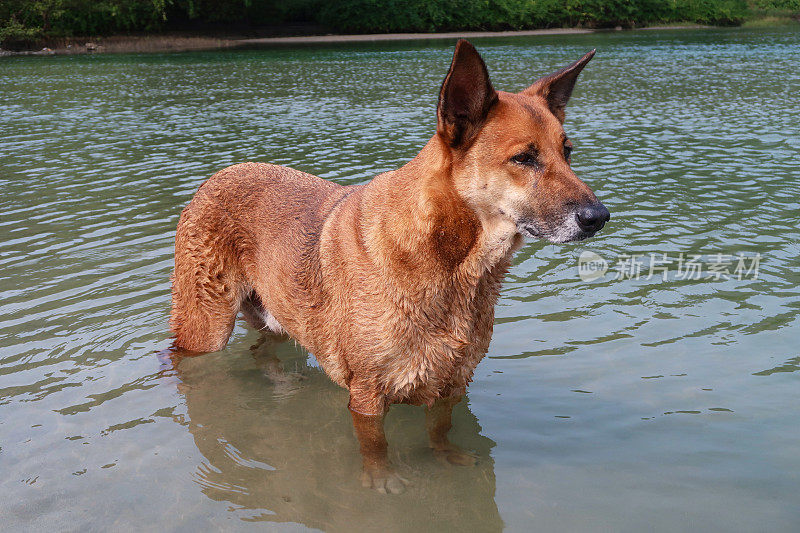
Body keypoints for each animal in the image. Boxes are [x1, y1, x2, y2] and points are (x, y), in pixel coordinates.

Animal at [169, 40, 608, 494]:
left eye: (567, 152)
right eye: (523, 158)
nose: (599, 217)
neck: (452, 265)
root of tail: (214, 177)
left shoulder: (451, 383)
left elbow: (440, 429)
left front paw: (446, 458)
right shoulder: (367, 395)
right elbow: (375, 445)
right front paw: (381, 479)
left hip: (275, 317)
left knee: (262, 349)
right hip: (206, 328)